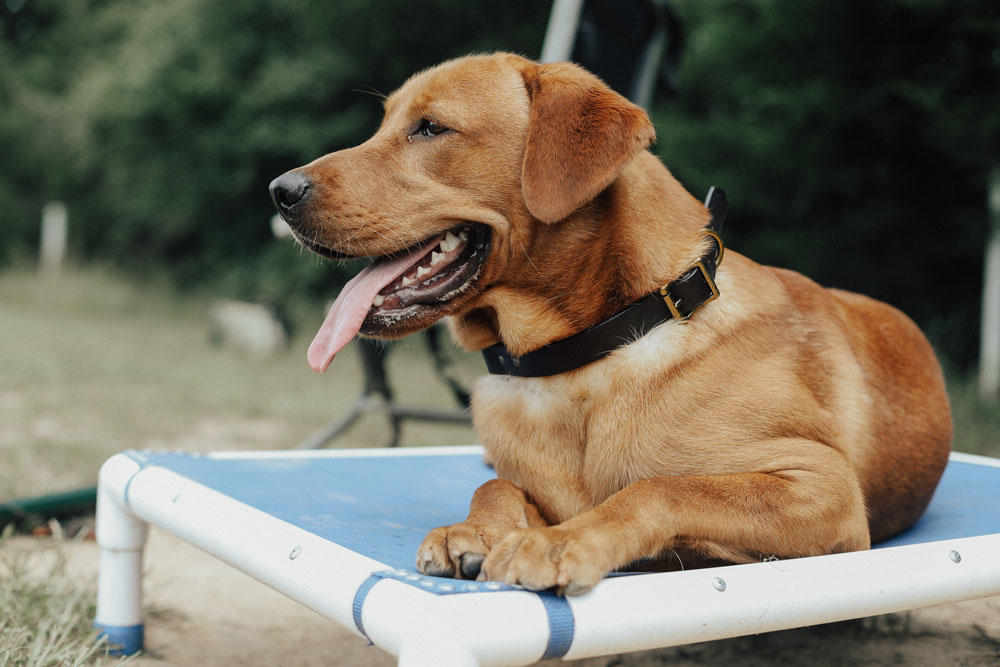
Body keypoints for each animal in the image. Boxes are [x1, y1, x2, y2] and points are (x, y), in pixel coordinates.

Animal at [268, 52, 952, 596]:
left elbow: (660, 489)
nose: (280, 190)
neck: (583, 356)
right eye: (384, 124)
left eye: (431, 128)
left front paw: (559, 543)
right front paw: (475, 530)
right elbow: (497, 487)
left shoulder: (822, 486)